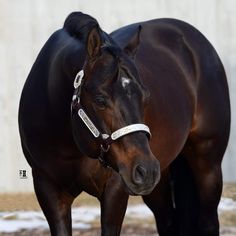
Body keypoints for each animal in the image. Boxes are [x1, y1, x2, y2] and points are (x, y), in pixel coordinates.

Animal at [18, 12, 230, 236]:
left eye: (146, 97)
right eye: (100, 100)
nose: (146, 170)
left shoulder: (115, 189)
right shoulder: (47, 189)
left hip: (207, 164)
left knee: (208, 221)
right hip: (159, 181)